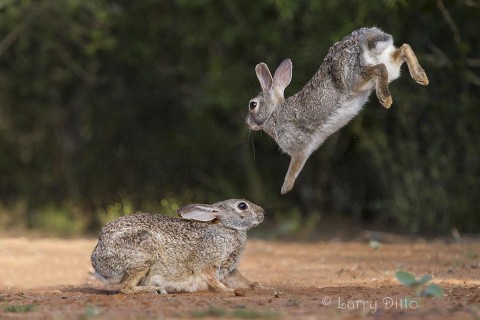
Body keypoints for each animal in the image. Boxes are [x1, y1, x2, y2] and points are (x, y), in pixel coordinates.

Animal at [90, 200, 262, 296]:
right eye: (242, 206)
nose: (262, 213)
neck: (226, 227)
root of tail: (97, 259)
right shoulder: (207, 263)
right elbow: (212, 279)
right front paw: (228, 291)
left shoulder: (229, 270)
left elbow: (239, 278)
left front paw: (256, 285)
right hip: (142, 255)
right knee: (126, 287)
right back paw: (155, 290)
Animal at [246, 26, 430, 194]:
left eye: (252, 105)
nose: (247, 123)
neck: (273, 113)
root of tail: (360, 38)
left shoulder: (299, 148)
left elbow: (293, 169)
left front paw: (285, 189)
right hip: (388, 66)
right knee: (403, 49)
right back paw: (421, 77)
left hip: (354, 79)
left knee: (379, 68)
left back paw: (385, 98)